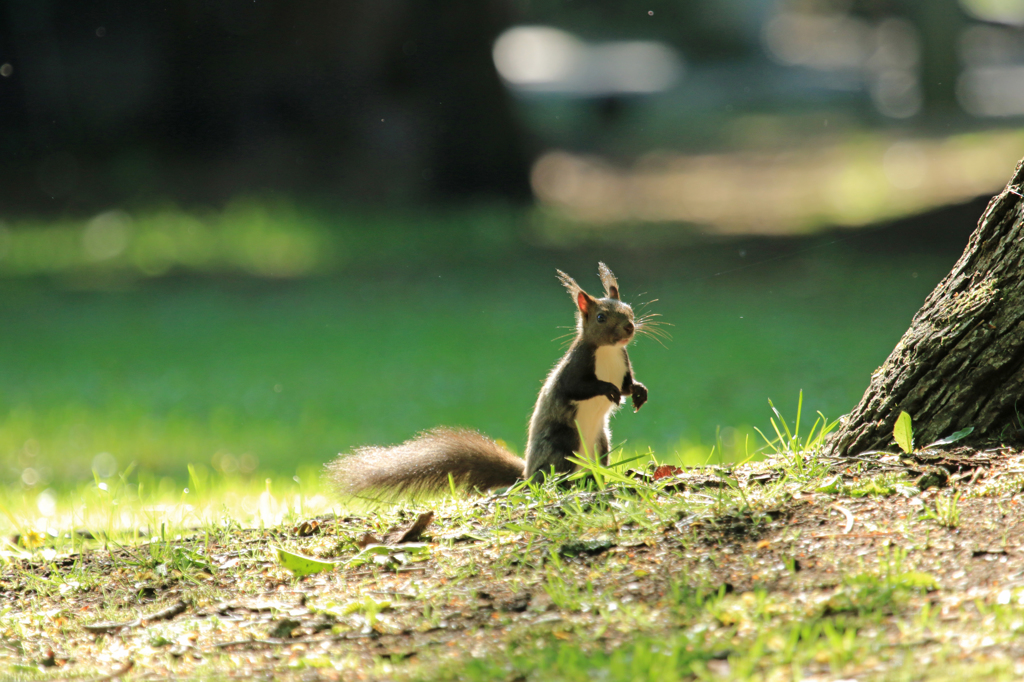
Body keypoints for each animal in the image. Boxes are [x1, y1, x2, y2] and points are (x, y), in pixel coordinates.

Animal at [323, 261, 651, 493]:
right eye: (600, 318)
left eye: (629, 310)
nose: (629, 328)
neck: (608, 352)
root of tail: (526, 474)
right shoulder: (574, 369)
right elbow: (578, 387)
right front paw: (606, 389)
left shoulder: (623, 365)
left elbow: (627, 384)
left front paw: (638, 392)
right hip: (564, 441)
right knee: (554, 473)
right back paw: (565, 484)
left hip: (600, 444)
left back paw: (595, 482)